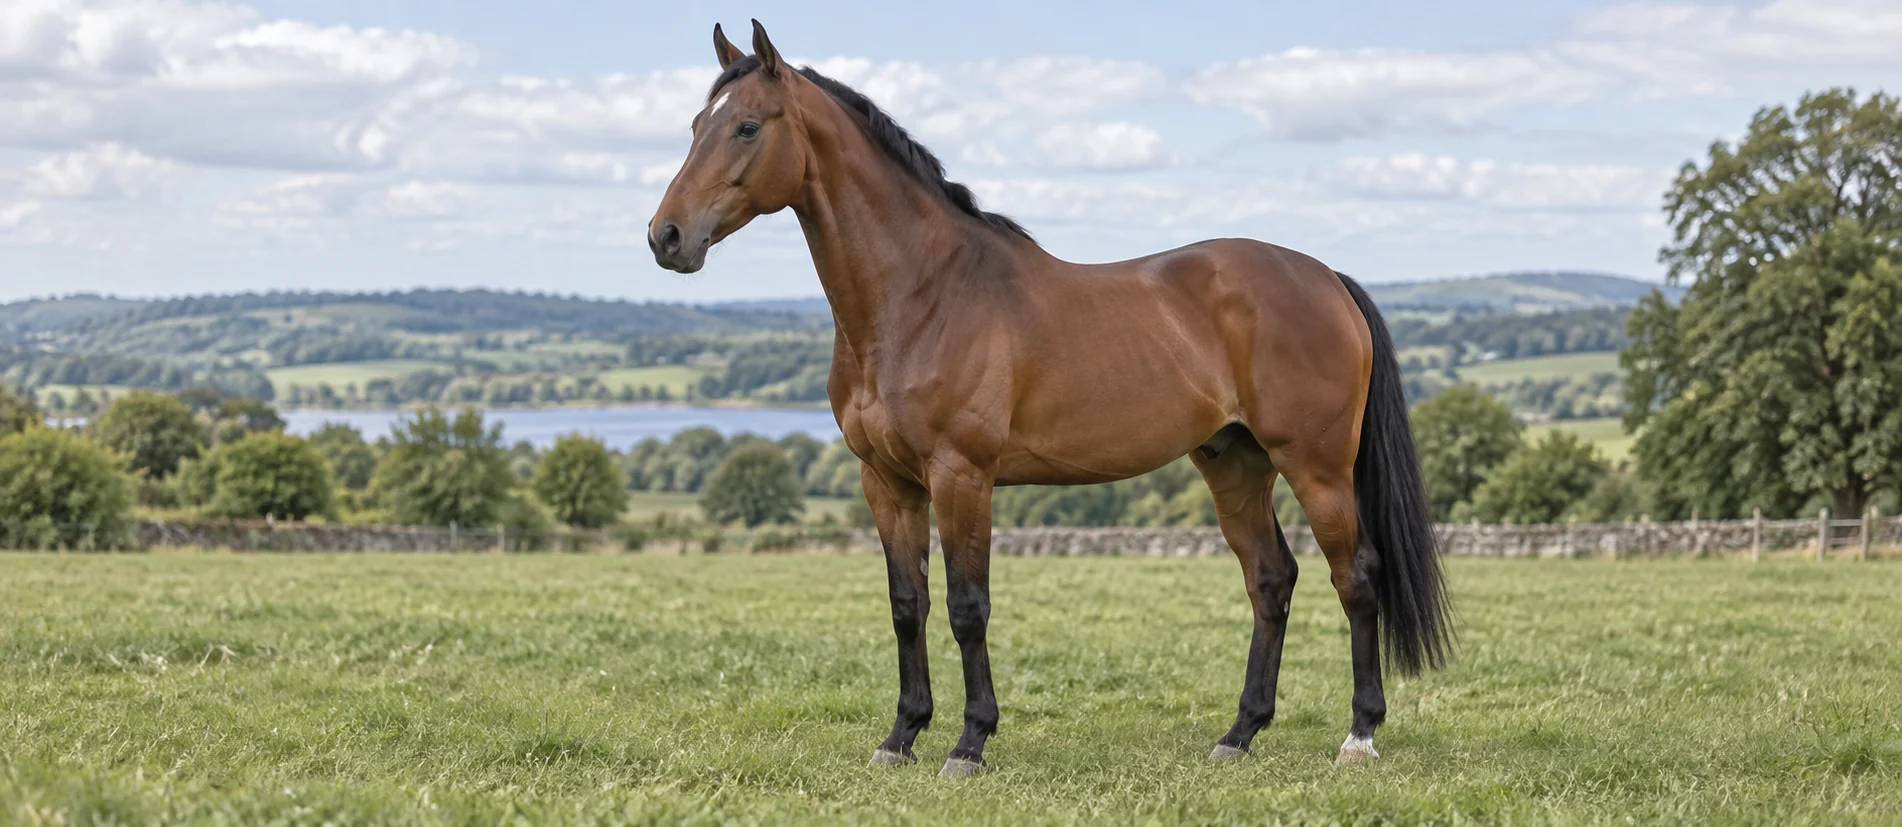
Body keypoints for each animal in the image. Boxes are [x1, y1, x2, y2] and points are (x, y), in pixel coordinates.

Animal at [649, 20, 1451, 777]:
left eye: (747, 126)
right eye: (693, 125)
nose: (667, 237)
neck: (922, 296)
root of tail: (1325, 277)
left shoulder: (961, 476)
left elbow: (968, 608)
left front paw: (969, 743)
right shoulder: (886, 482)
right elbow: (909, 606)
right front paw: (900, 736)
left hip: (1316, 467)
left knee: (1356, 577)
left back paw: (1359, 735)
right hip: (1235, 464)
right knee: (1271, 579)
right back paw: (1239, 734)